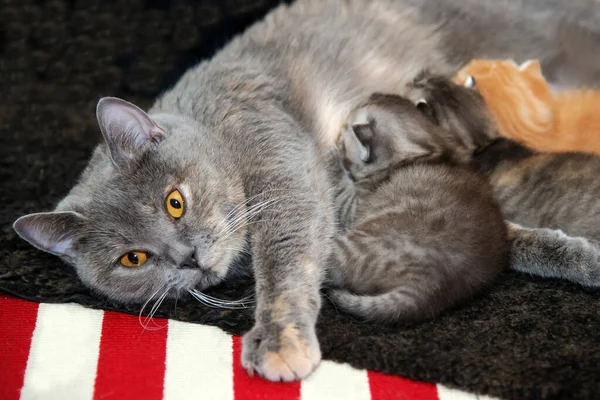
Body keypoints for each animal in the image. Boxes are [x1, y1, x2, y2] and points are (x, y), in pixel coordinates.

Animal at [326, 95, 508, 324]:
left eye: (342, 143)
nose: (336, 140)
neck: (428, 149)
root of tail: (429, 288)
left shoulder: (354, 206)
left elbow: (341, 187)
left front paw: (328, 153)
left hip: (349, 246)